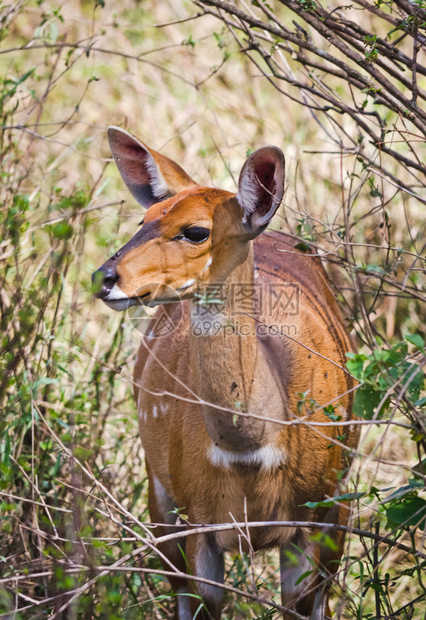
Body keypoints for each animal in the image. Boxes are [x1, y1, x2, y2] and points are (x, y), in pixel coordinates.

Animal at [93, 127, 360, 620]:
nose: (104, 277)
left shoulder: (317, 516)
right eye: (144, 219)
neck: (250, 448)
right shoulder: (198, 523)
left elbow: (302, 602)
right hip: (159, 498)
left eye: (197, 231)